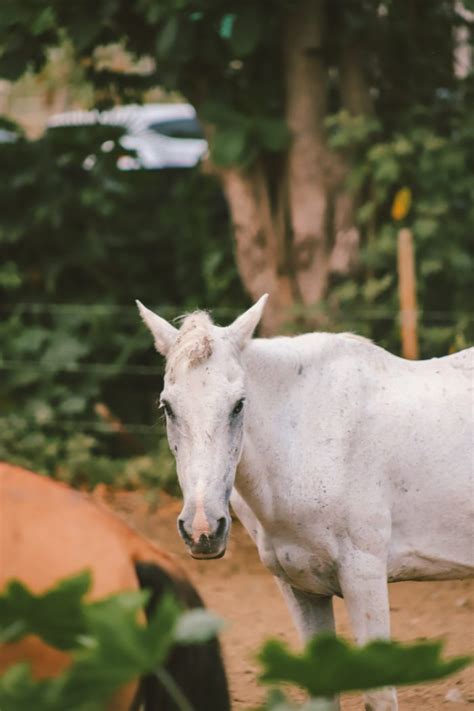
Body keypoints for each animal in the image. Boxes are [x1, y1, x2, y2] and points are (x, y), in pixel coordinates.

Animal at [137, 296, 474, 711]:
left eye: (239, 405)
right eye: (167, 406)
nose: (202, 530)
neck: (306, 440)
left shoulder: (365, 578)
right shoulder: (301, 587)